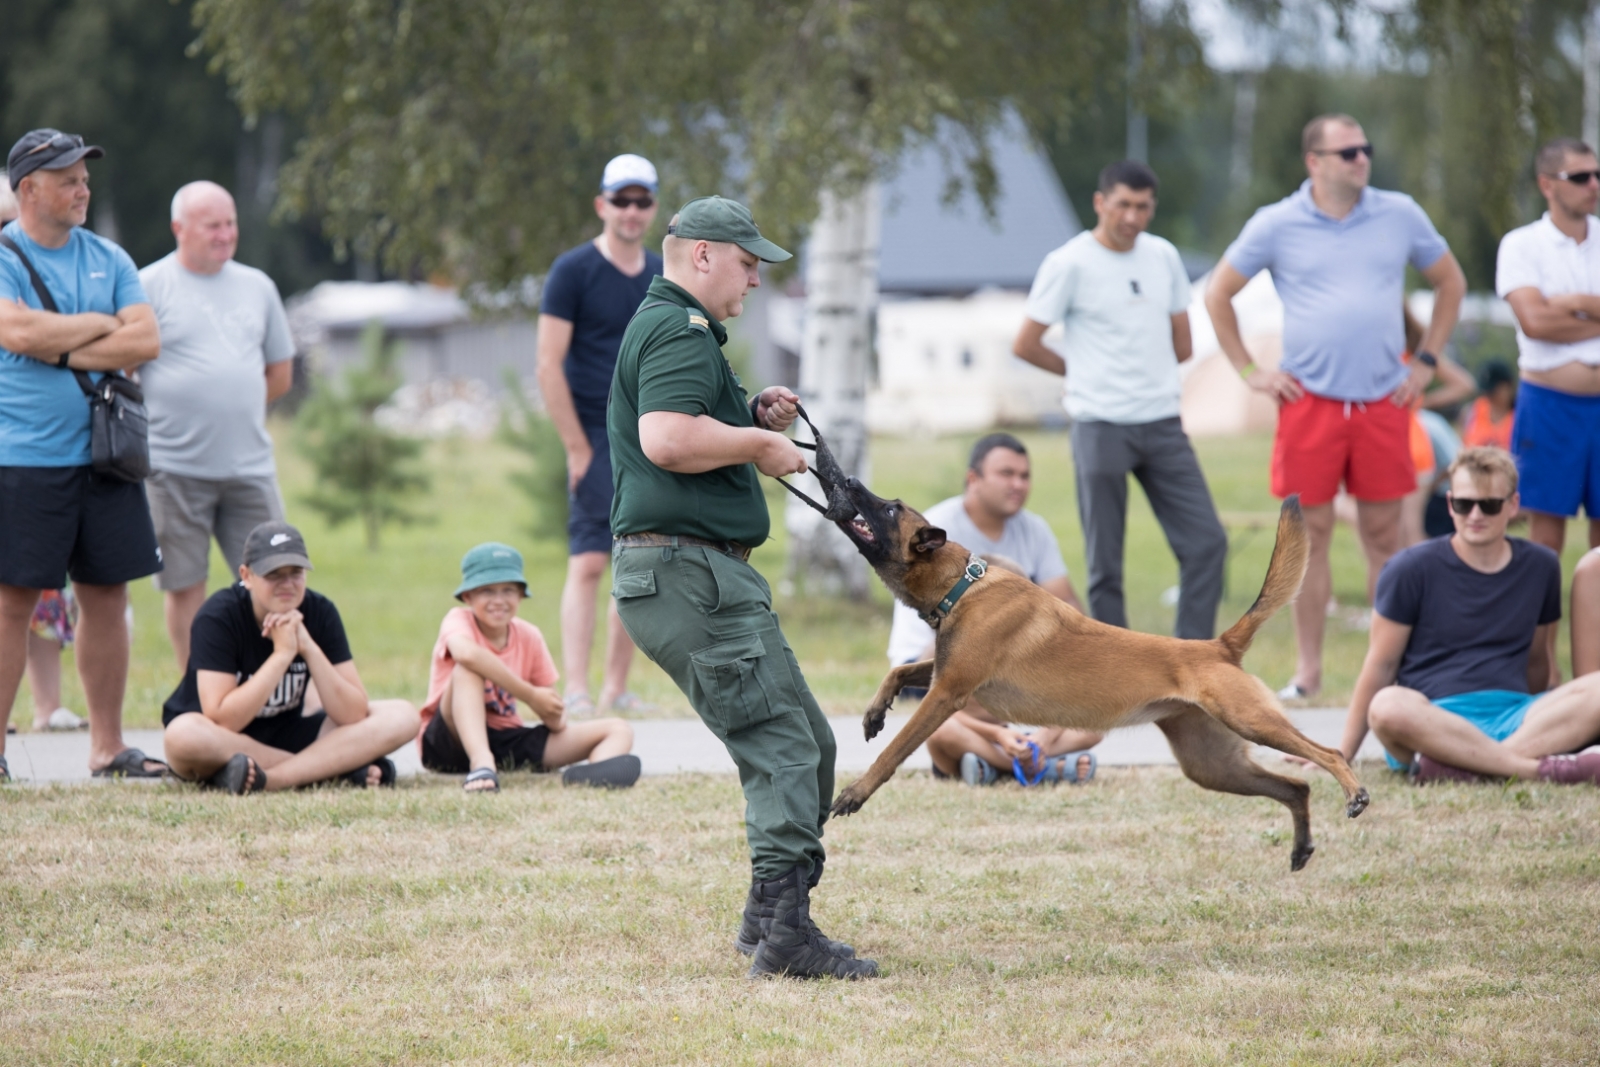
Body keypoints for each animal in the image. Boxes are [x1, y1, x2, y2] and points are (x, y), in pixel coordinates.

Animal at [832, 479, 1369, 870]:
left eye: (891, 508)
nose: (851, 481)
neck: (962, 585)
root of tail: (1218, 646)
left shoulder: (948, 692)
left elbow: (893, 752)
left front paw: (855, 792)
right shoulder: (945, 673)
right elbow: (900, 670)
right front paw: (874, 714)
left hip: (1250, 720)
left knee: (1329, 753)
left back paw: (1354, 791)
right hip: (1212, 765)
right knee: (1295, 788)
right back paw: (1300, 848)